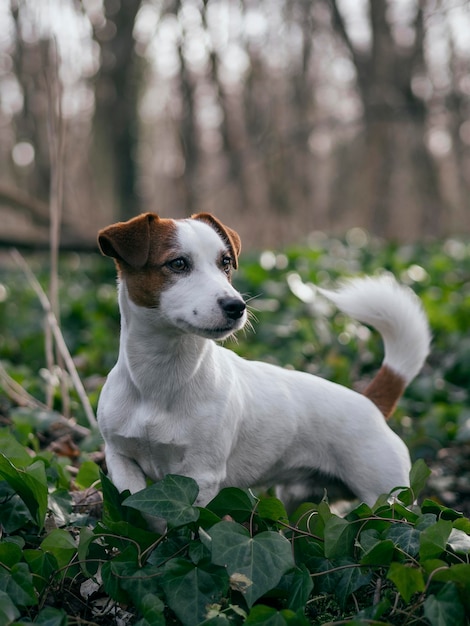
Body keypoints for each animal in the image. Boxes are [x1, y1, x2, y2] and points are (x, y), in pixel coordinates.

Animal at [97, 212, 432, 516]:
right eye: (178, 264)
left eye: (225, 263)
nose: (237, 306)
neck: (160, 380)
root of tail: (371, 403)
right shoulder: (120, 459)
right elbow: (139, 510)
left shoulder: (200, 476)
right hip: (303, 500)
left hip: (389, 498)